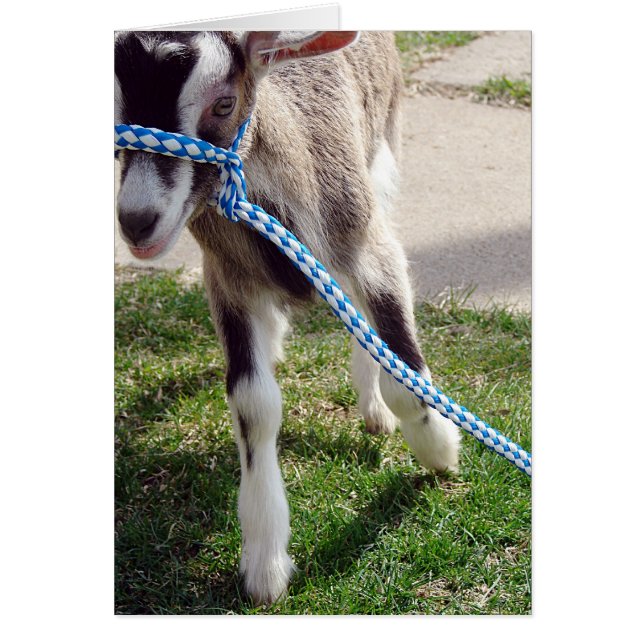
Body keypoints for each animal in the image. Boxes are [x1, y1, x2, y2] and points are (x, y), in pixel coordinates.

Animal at [114, 30, 461, 605]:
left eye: (224, 103)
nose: (137, 221)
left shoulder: (364, 241)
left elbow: (403, 374)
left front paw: (438, 449)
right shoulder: (227, 279)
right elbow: (253, 404)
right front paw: (265, 562)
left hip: (382, 152)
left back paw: (373, 408)